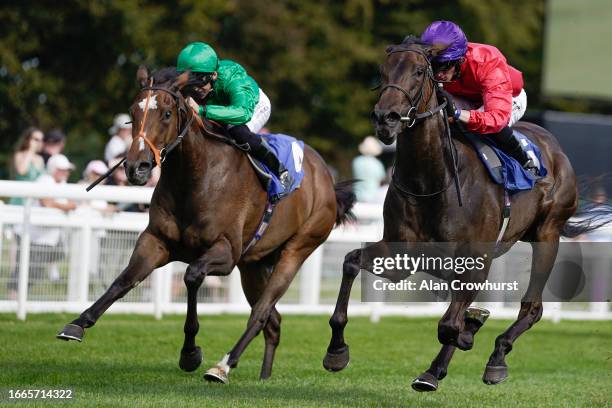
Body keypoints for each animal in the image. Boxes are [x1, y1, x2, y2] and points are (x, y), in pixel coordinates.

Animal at [58, 66, 356, 382]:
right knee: (273, 321)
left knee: (261, 313)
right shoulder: (156, 241)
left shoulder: (224, 253)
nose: (136, 167)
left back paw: (223, 366)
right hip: (252, 265)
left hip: (298, 248)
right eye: (133, 111)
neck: (194, 177)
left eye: (166, 113)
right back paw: (263, 377)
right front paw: (77, 323)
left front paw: (190, 353)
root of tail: (325, 176)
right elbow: (124, 279)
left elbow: (191, 276)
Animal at [322, 39, 604, 392]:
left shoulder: (475, 259)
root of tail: (556, 149)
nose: (385, 118)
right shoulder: (401, 254)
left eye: (418, 71)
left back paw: (493, 357)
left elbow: (449, 326)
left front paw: (469, 332)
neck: (430, 181)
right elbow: (350, 263)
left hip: (547, 235)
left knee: (532, 307)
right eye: (382, 71)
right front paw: (336, 351)